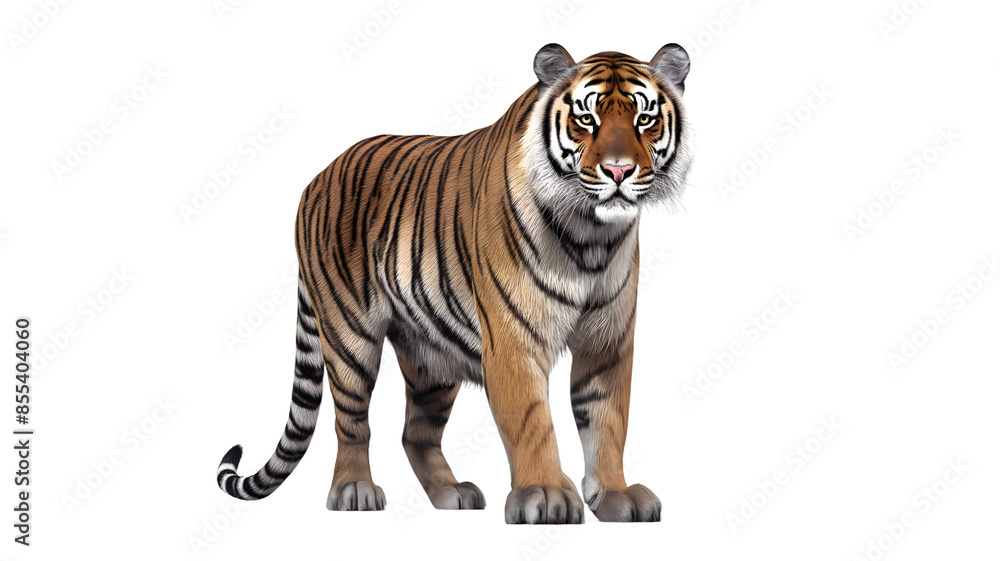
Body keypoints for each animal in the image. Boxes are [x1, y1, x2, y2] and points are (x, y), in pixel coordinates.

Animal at [216, 42, 692, 524]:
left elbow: (607, 422)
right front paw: (544, 494)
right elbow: (532, 420)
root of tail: (316, 179)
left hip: (431, 356)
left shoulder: (607, 341)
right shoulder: (512, 340)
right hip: (349, 337)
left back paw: (451, 493)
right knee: (351, 421)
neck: (591, 235)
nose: (619, 171)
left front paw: (616, 495)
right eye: (586, 119)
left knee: (415, 433)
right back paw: (354, 489)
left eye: (644, 119)